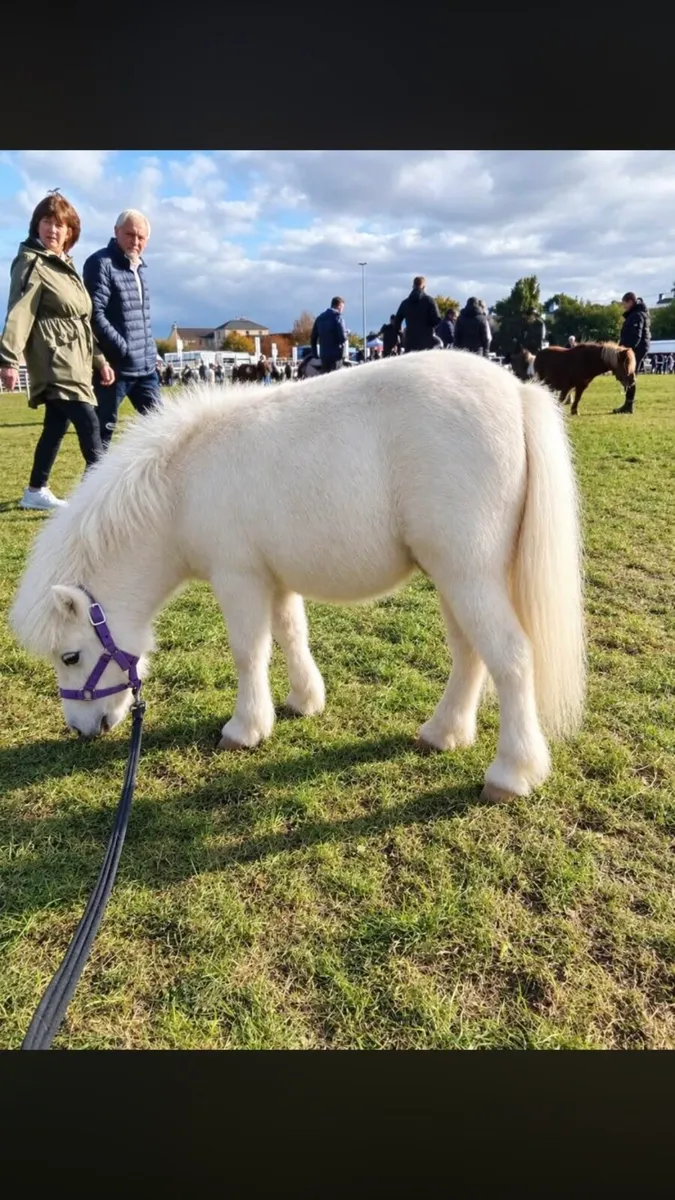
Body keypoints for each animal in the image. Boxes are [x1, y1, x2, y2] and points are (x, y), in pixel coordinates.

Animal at [9, 351, 585, 803]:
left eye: (70, 656)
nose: (83, 730)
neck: (181, 485)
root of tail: (517, 391)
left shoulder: (238, 576)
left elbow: (249, 651)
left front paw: (245, 728)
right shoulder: (275, 576)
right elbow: (290, 634)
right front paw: (303, 701)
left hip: (468, 573)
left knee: (510, 657)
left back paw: (511, 773)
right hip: (455, 575)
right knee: (470, 655)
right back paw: (443, 733)